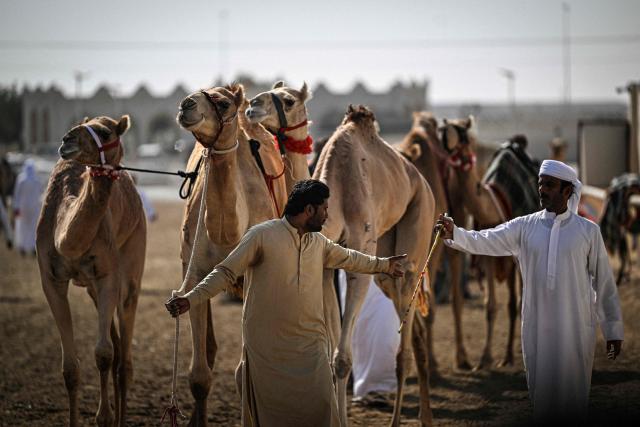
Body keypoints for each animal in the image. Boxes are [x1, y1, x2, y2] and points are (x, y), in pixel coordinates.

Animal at [36, 115, 146, 427]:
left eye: (105, 132)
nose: (67, 140)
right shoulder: (50, 279)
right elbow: (70, 368)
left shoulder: (108, 274)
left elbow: (104, 354)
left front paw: (105, 417)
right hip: (92, 289)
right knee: (119, 348)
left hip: (132, 258)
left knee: (124, 358)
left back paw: (121, 417)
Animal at [313, 105, 436, 426]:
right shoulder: (325, 263)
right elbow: (331, 352)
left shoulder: (358, 254)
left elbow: (342, 358)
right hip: (385, 258)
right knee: (415, 330)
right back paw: (426, 417)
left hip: (417, 228)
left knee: (403, 352)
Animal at [439, 116, 521, 369]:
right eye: (443, 127)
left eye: (463, 131)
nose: (444, 132)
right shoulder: (486, 255)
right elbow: (489, 305)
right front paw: (484, 358)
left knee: (515, 302)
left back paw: (509, 356)